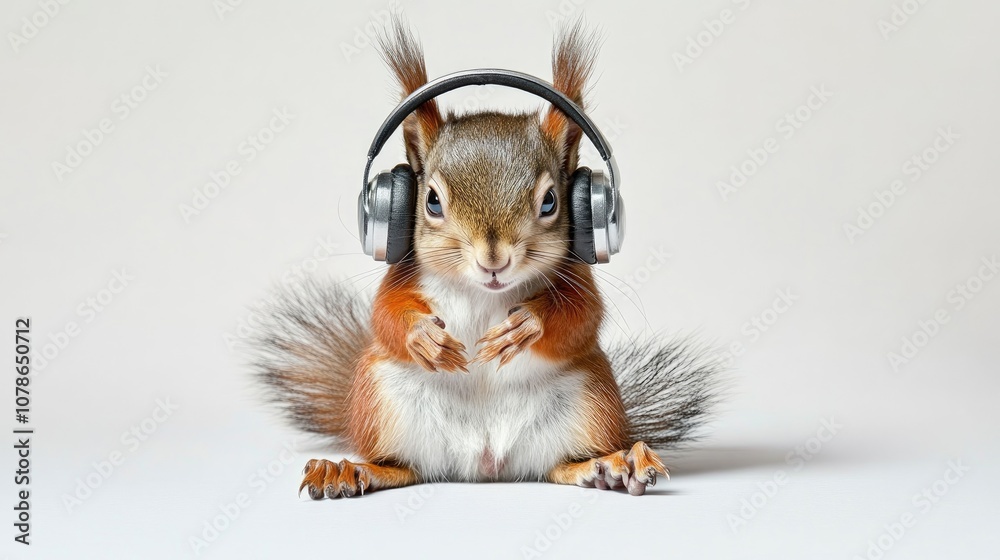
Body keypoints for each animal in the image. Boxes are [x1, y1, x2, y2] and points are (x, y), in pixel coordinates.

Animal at [254, 20, 719, 499]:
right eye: (432, 201)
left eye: (550, 201)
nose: (493, 261)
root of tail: (486, 464)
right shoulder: (401, 275)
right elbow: (384, 315)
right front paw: (424, 337)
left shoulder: (578, 277)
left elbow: (582, 316)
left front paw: (526, 325)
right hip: (381, 399)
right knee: (403, 467)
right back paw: (351, 470)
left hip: (591, 399)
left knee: (561, 465)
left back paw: (611, 464)